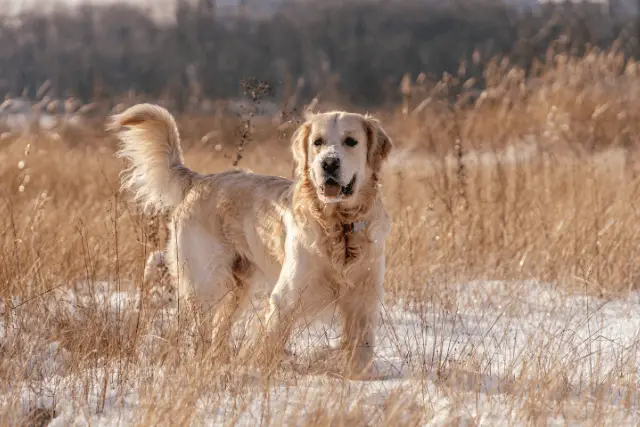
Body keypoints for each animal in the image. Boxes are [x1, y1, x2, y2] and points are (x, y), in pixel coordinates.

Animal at [107, 103, 392, 378]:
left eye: (350, 141)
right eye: (317, 142)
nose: (329, 163)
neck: (339, 227)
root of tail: (199, 180)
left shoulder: (365, 297)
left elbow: (362, 348)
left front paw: (361, 377)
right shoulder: (286, 297)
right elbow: (269, 345)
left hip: (238, 288)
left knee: (219, 330)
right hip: (204, 284)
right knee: (196, 330)